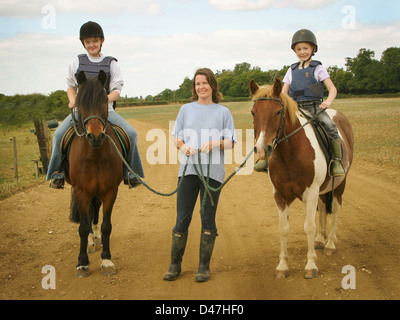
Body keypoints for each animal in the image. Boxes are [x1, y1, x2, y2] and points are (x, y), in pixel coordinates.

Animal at [66, 70, 123, 278]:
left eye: (104, 100)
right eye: (80, 102)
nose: (95, 136)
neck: (95, 154)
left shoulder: (110, 191)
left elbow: (106, 225)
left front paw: (106, 260)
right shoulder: (81, 191)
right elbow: (83, 227)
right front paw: (82, 263)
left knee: (95, 211)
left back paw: (96, 236)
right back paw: (91, 242)